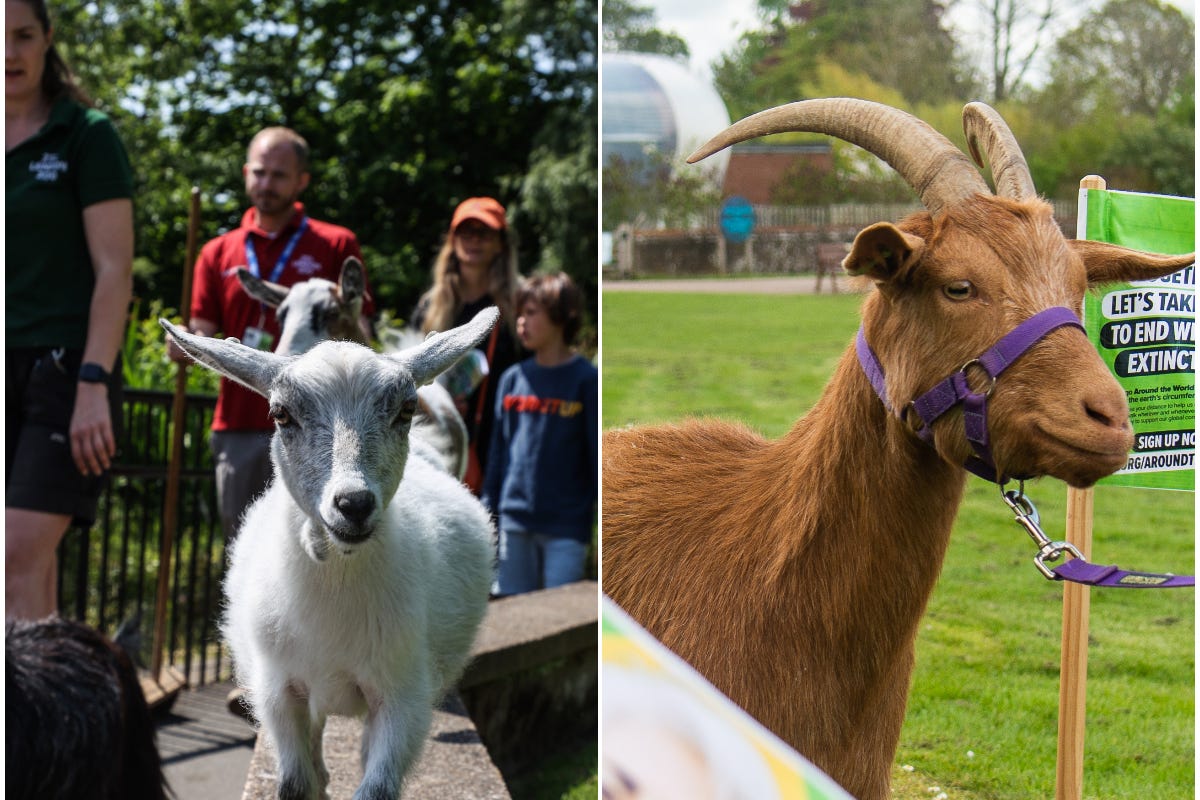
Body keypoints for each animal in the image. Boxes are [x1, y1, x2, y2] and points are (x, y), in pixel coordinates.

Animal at [159, 307, 496, 800]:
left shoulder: (402, 698)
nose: (353, 504)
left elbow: (376, 789)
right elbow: (298, 783)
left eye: (405, 409)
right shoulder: (279, 693)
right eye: (280, 414)